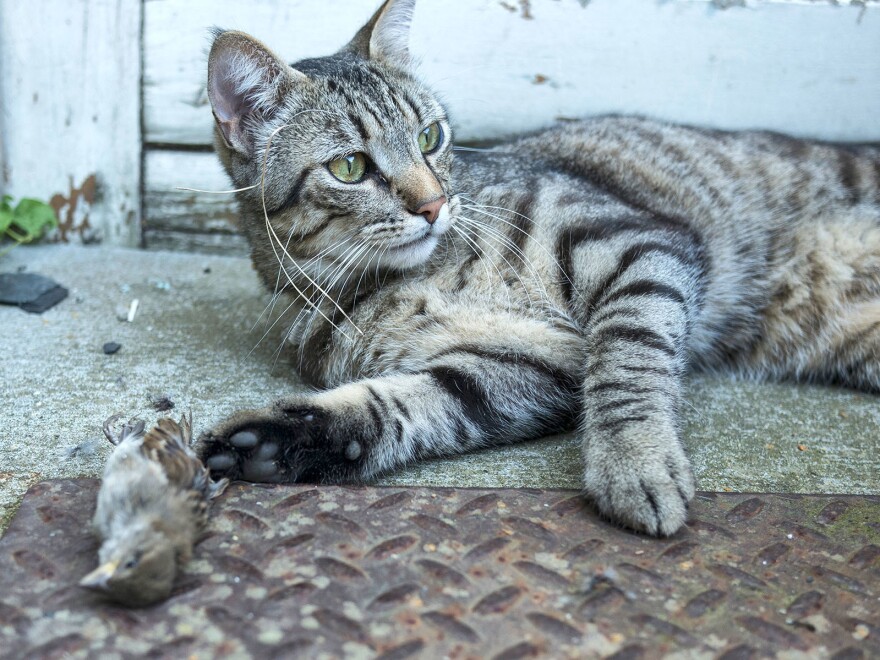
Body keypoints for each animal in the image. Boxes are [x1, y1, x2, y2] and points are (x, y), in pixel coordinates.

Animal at [198, 0, 880, 536]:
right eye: (349, 168)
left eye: (430, 137)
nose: (434, 204)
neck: (425, 276)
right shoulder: (525, 370)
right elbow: (410, 404)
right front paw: (283, 442)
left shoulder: (637, 243)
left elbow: (627, 365)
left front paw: (635, 462)